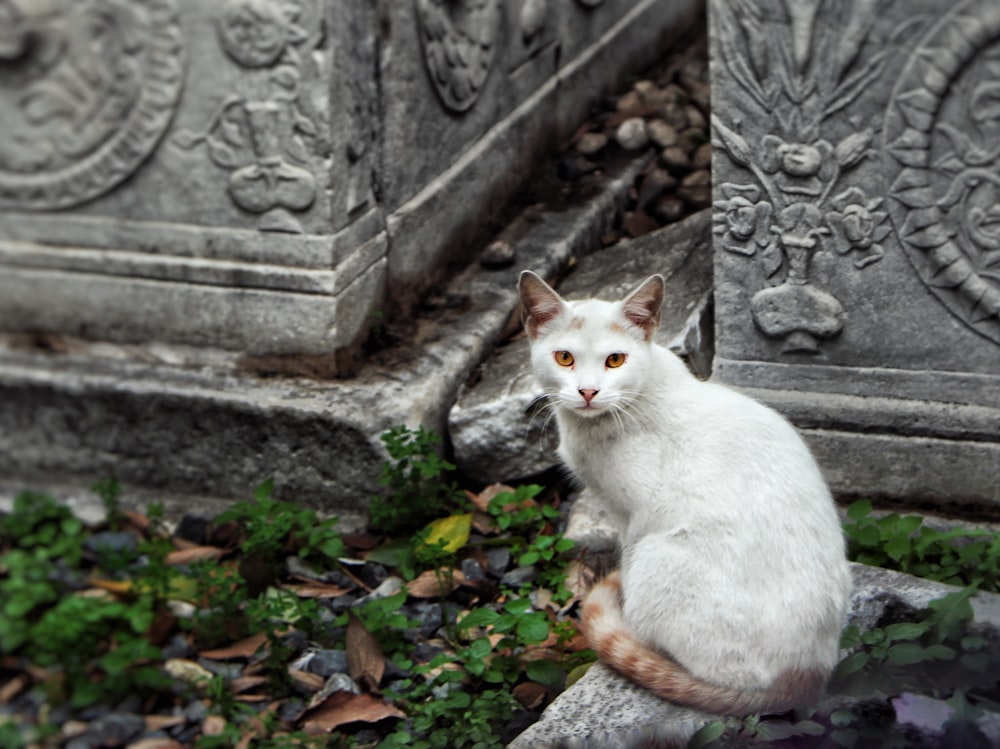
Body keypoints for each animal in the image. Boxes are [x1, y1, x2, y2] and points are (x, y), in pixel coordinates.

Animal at [516, 268, 852, 712]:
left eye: (615, 360)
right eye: (565, 358)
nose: (588, 391)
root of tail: (807, 675)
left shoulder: (635, 517)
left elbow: (626, 561)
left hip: (661, 555)